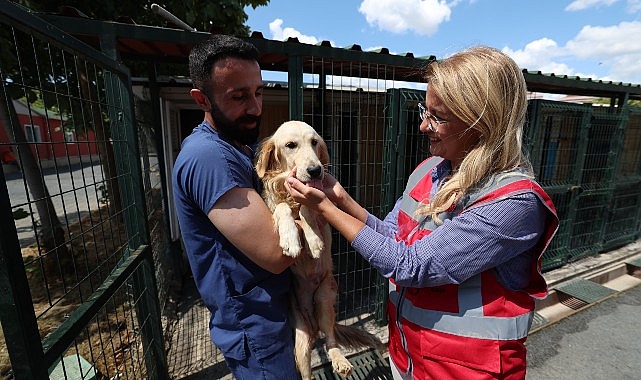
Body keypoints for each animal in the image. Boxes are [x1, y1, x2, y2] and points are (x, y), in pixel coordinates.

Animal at [255, 121, 382, 378]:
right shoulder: (272, 207)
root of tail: (313, 325)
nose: (315, 170)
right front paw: (291, 240)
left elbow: (308, 208)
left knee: (330, 340)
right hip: (301, 341)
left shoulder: (321, 209)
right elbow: (282, 207)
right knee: (307, 372)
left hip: (324, 300)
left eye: (314, 142)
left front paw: (313, 241)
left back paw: (340, 361)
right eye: (290, 145)